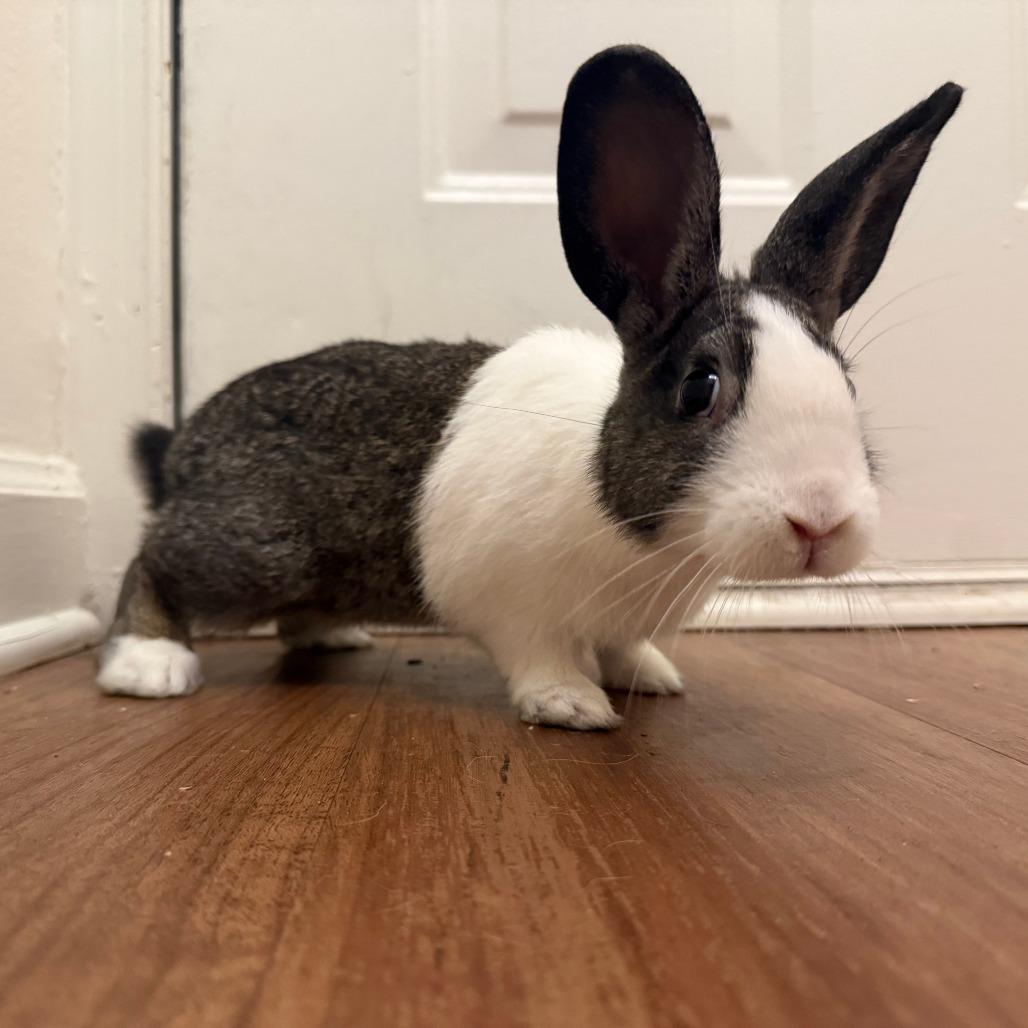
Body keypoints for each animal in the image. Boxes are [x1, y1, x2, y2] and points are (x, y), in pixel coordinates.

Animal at [97, 45, 963, 729]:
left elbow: (622, 646)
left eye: (847, 384)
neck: (635, 525)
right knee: (151, 561)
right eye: (699, 387)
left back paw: (332, 634)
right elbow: (537, 656)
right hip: (252, 551)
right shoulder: (508, 602)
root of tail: (184, 447)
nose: (821, 521)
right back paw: (148, 663)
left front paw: (649, 676)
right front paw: (573, 706)